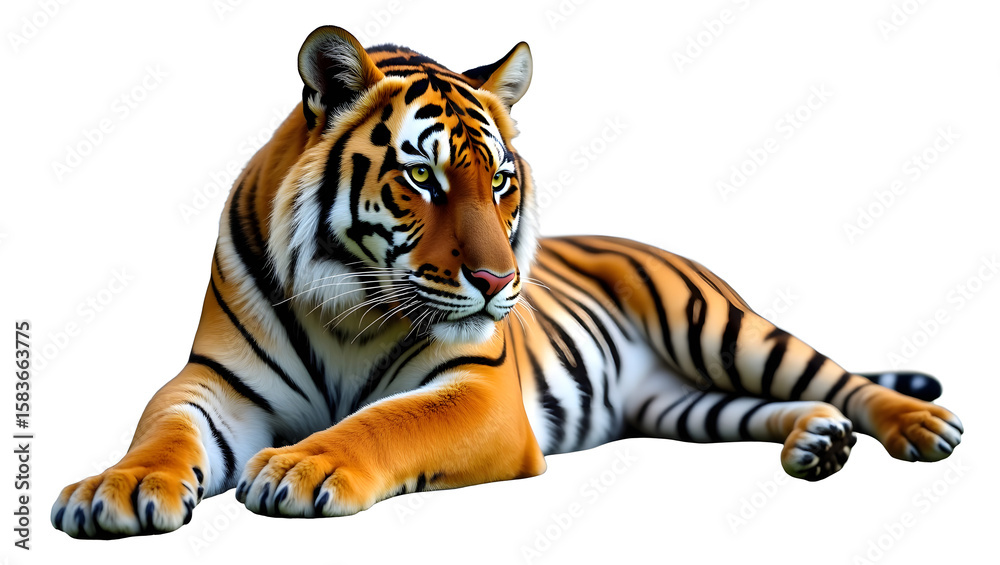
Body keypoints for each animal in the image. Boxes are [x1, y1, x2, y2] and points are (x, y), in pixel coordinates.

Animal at [52, 25, 963, 538]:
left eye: (498, 181)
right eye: (421, 178)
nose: (498, 280)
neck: (347, 304)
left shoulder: (480, 392)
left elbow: (384, 422)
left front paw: (300, 467)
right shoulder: (210, 382)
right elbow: (162, 434)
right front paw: (117, 488)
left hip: (719, 325)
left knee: (837, 378)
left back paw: (922, 427)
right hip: (681, 402)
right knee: (767, 406)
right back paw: (817, 443)